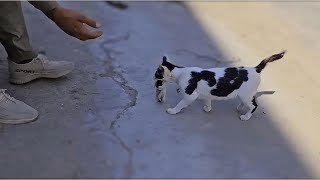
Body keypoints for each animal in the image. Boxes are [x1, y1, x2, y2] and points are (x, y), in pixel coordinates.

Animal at [154, 51, 286, 121]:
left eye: (157, 79)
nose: (156, 86)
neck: (180, 73)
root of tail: (255, 69)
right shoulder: (207, 94)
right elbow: (208, 101)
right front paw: (207, 108)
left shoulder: (190, 96)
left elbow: (180, 105)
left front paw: (173, 111)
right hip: (245, 94)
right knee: (250, 102)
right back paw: (240, 107)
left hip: (246, 95)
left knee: (254, 105)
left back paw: (246, 116)